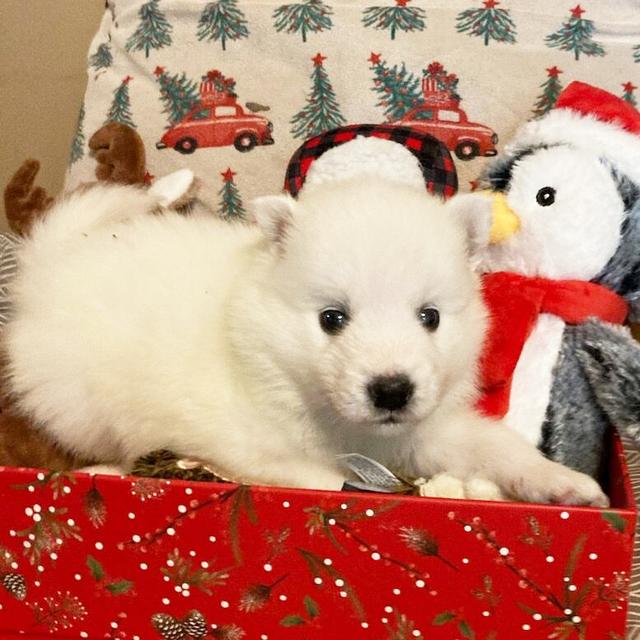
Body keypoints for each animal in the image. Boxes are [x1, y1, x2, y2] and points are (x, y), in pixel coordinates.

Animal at [0, 175, 608, 504]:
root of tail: (48, 263)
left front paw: (561, 482)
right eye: (332, 319)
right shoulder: (250, 447)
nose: (392, 390)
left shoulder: (426, 430)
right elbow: (321, 481)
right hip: (79, 402)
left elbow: (494, 444)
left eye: (430, 317)